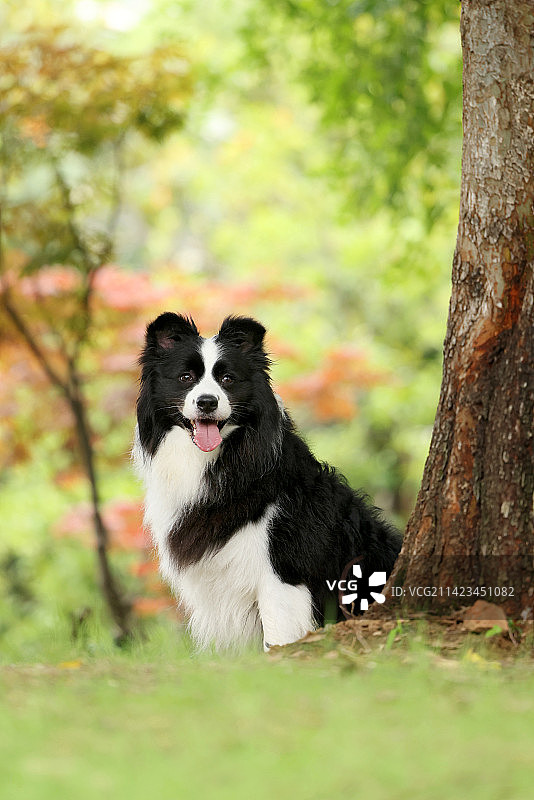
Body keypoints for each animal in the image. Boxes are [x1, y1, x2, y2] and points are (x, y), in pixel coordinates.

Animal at [134, 312, 402, 648]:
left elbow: (277, 639)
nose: (207, 402)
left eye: (228, 379)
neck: (218, 461)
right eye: (185, 378)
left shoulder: (281, 578)